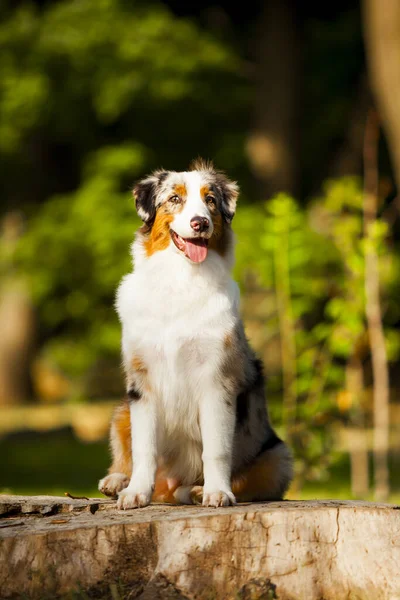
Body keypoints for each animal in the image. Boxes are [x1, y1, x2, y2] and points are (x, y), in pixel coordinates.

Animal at [98, 158, 292, 506]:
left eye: (210, 200)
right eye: (174, 199)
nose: (200, 223)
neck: (181, 279)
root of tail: (168, 487)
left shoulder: (217, 380)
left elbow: (216, 449)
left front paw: (217, 492)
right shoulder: (141, 383)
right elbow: (143, 447)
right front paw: (135, 492)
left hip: (278, 456)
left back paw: (198, 489)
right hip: (121, 409)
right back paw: (117, 480)